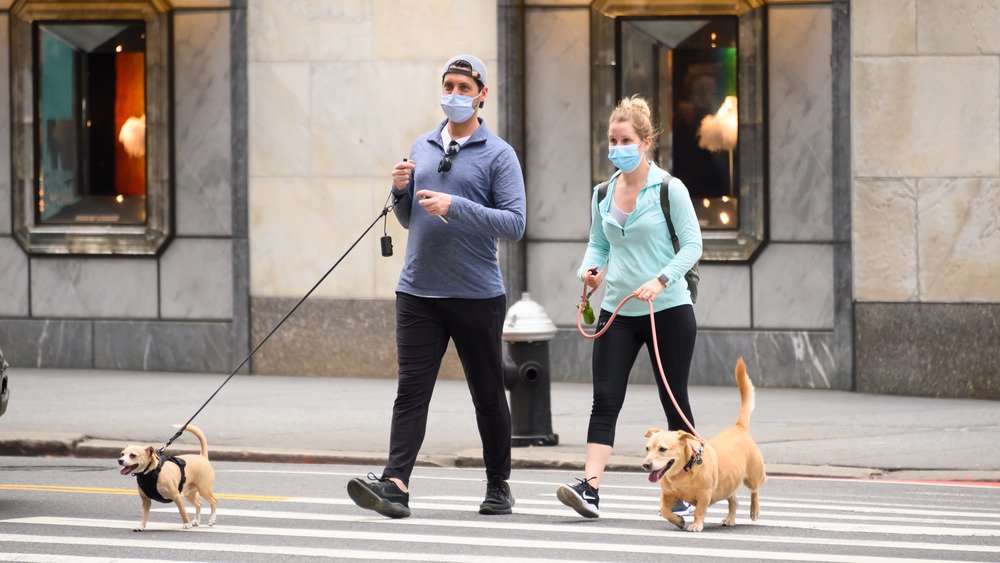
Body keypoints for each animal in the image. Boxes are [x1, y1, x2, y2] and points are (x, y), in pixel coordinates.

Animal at [644, 356, 760, 532]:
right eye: (647, 449)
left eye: (662, 449)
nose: (646, 465)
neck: (682, 472)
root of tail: (739, 427)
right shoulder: (668, 495)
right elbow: (664, 510)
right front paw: (678, 521)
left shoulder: (704, 495)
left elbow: (699, 510)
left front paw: (696, 525)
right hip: (727, 486)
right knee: (734, 501)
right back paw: (730, 519)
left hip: (753, 476)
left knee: (754, 490)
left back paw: (754, 510)